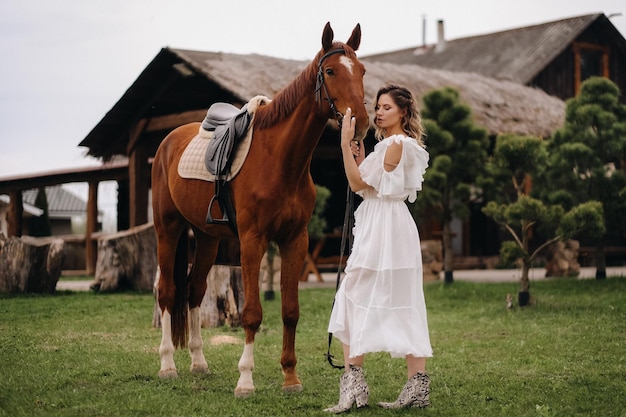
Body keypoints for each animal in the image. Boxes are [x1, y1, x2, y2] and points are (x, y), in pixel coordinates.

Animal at [151, 23, 368, 396]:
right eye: (330, 71)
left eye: (362, 71)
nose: (364, 123)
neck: (279, 159)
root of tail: (168, 142)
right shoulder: (253, 240)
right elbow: (252, 312)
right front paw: (246, 380)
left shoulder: (295, 240)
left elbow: (290, 310)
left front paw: (290, 378)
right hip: (169, 229)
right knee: (168, 292)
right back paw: (167, 366)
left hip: (207, 238)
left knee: (194, 292)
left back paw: (198, 362)